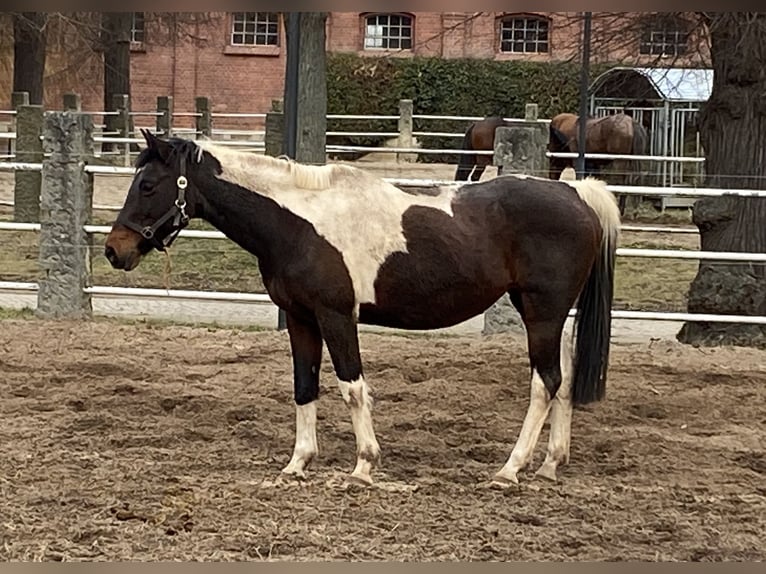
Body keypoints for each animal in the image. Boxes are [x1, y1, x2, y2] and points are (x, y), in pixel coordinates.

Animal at [104, 130, 621, 488]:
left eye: (147, 185)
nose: (114, 250)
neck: (300, 223)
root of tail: (576, 194)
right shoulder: (301, 319)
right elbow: (304, 388)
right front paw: (298, 464)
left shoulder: (336, 317)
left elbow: (352, 388)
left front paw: (363, 466)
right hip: (551, 316)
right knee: (565, 380)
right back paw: (551, 464)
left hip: (541, 313)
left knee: (545, 382)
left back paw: (510, 470)